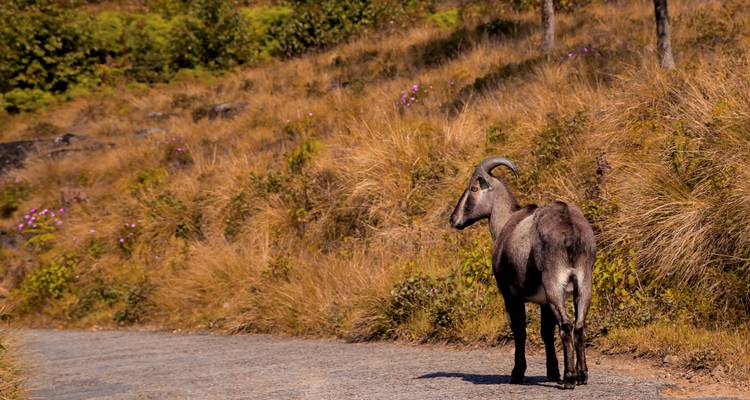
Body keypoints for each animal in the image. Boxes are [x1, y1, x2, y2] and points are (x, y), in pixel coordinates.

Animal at [449, 156, 595, 389]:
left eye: (473, 188)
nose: (453, 219)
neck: (507, 222)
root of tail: (571, 231)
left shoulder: (510, 294)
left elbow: (519, 330)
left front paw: (517, 373)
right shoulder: (544, 301)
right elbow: (546, 332)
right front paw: (552, 372)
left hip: (555, 284)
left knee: (566, 325)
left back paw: (569, 378)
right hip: (583, 283)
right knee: (579, 325)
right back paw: (582, 376)